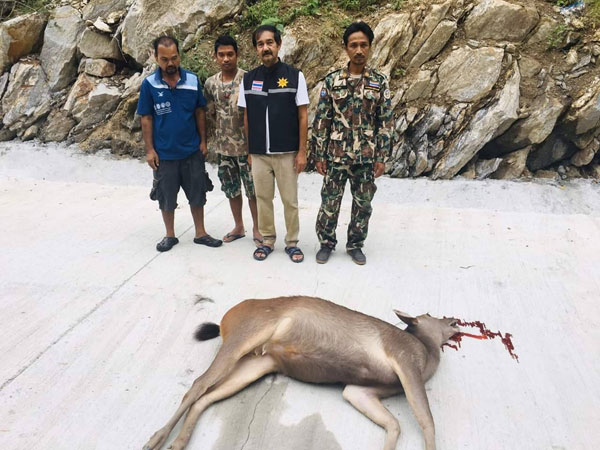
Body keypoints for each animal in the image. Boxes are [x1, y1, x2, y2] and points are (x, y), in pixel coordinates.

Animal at [144, 296, 460, 450]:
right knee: (196, 385)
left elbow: (394, 424)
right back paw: (156, 439)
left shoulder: (359, 390)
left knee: (206, 397)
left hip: (257, 364)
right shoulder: (404, 360)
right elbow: (426, 421)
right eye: (430, 315)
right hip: (243, 338)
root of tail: (223, 320)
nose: (454, 318)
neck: (428, 355)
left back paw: (179, 443)